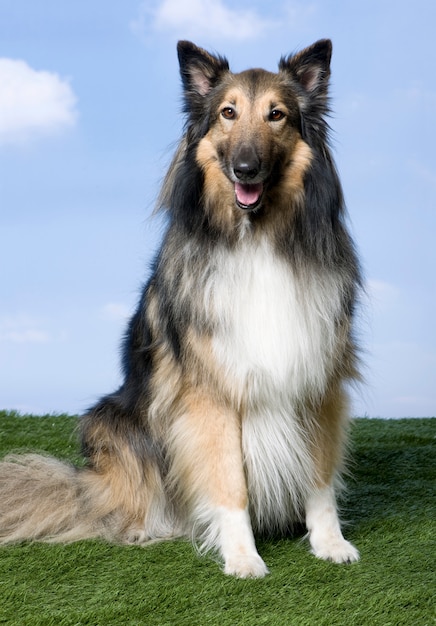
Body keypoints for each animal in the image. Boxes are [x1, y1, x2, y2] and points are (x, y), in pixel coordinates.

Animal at [0, 37, 362, 576]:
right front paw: (242, 557)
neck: (257, 238)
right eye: (228, 113)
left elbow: (319, 478)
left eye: (276, 114)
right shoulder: (211, 393)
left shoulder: (318, 377)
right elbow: (230, 483)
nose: (246, 169)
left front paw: (329, 543)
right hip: (113, 422)